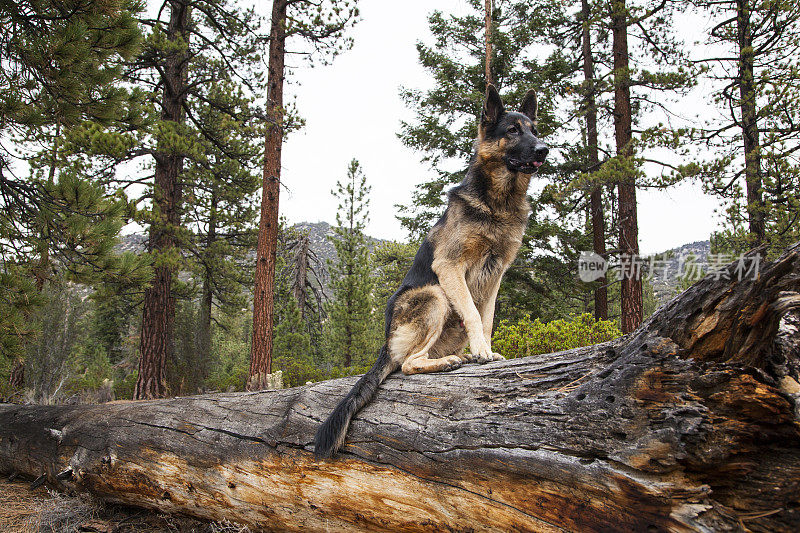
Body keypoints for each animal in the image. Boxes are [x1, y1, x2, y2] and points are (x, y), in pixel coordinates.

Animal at [316, 84, 548, 458]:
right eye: (513, 130)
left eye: (534, 130)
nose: (544, 149)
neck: (498, 202)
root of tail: (385, 344)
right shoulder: (450, 266)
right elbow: (472, 313)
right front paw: (481, 350)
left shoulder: (496, 275)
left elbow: (487, 318)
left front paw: (485, 349)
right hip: (435, 296)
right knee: (408, 364)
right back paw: (446, 362)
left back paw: (457, 356)